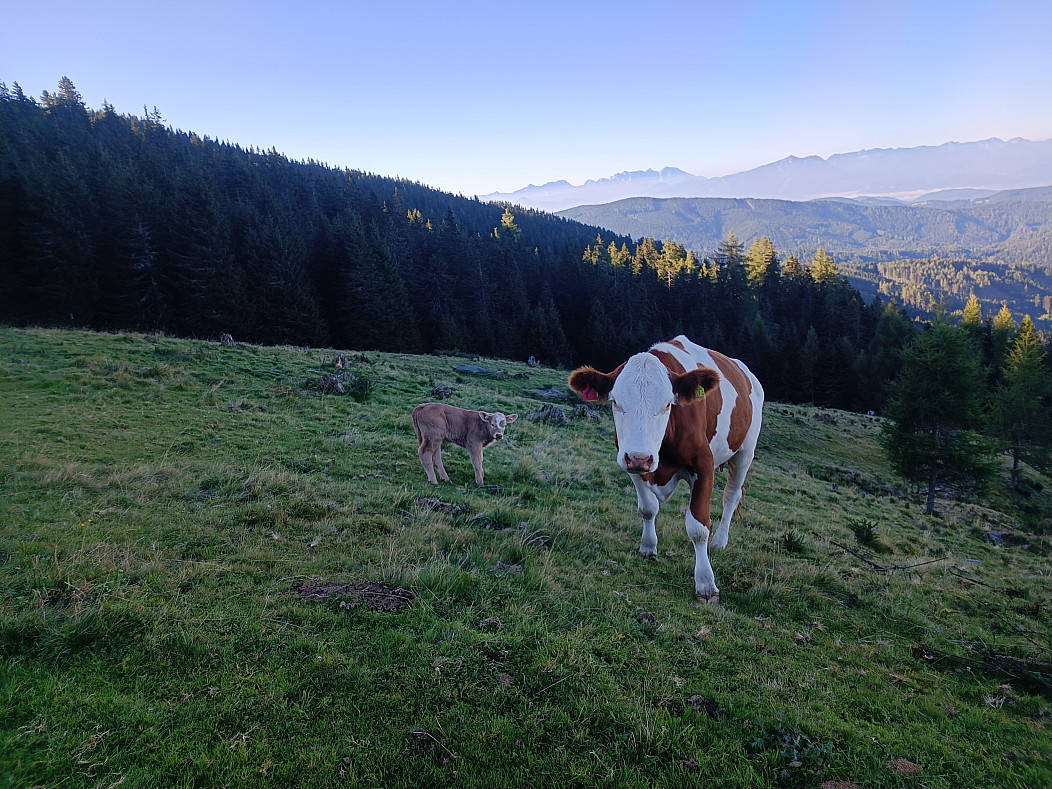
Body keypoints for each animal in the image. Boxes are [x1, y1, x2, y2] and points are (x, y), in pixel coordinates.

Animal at [567, 335, 763, 602]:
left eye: (668, 404)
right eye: (615, 402)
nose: (639, 456)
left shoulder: (704, 464)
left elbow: (698, 527)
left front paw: (705, 583)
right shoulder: (634, 463)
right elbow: (648, 509)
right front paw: (648, 546)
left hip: (745, 452)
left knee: (731, 497)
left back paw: (720, 541)